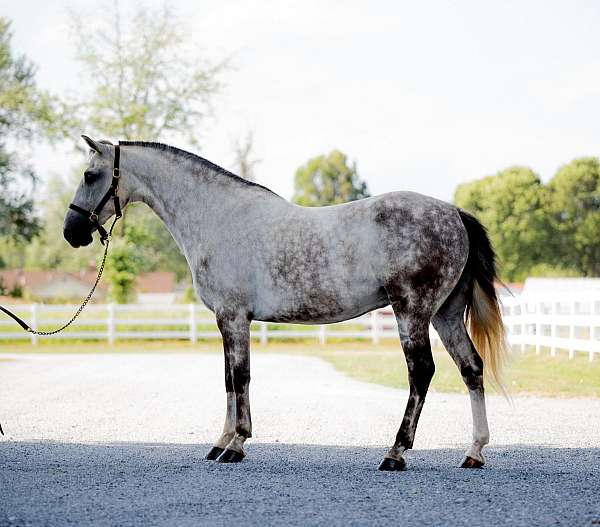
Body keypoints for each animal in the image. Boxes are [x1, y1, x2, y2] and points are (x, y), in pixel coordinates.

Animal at [64, 136, 506, 470]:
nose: (71, 232)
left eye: (90, 174)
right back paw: (474, 452)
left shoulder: (233, 316)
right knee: (471, 368)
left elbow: (239, 377)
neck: (216, 217)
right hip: (445, 314)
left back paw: (395, 453)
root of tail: (453, 213)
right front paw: (221, 441)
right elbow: (229, 379)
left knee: (422, 372)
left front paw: (236, 445)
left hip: (411, 312)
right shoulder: (227, 320)